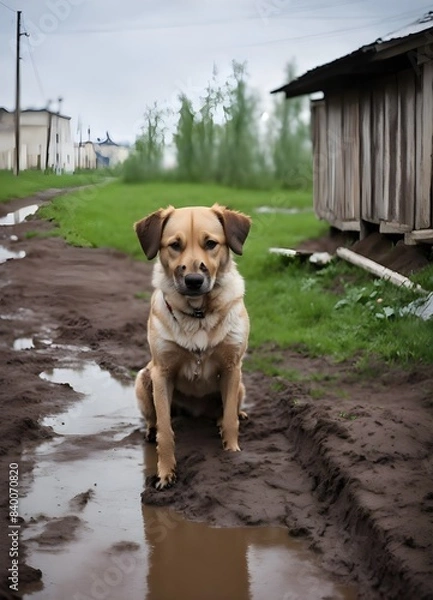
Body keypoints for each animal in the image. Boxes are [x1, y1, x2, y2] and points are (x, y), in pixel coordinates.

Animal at [133, 203, 251, 488]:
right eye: (175, 245)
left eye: (211, 243)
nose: (194, 280)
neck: (198, 315)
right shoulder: (161, 373)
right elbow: (166, 430)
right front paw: (165, 473)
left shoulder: (232, 368)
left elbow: (230, 419)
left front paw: (232, 453)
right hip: (143, 379)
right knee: (153, 420)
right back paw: (150, 431)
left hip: (241, 385)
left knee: (228, 411)